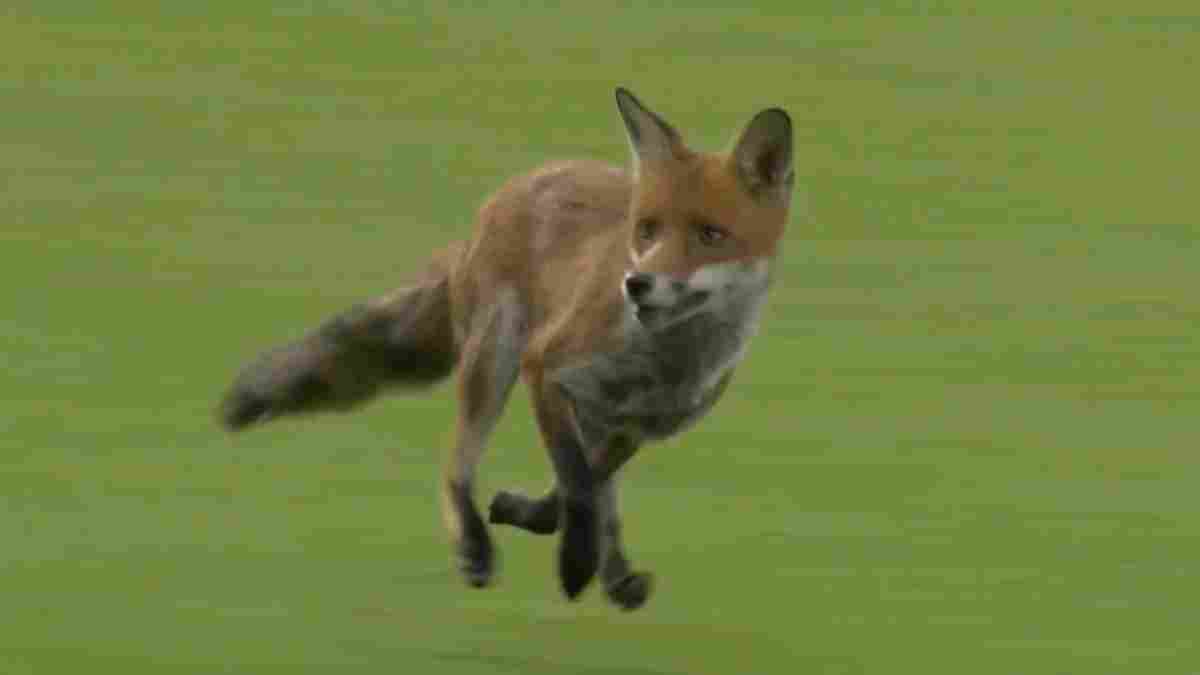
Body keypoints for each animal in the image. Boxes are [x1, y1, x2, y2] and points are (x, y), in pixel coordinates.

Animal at [217, 88, 794, 610]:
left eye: (711, 235)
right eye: (647, 230)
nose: (637, 284)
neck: (664, 362)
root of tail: (512, 187)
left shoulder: (636, 426)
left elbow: (581, 488)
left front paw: (551, 531)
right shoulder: (546, 368)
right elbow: (577, 486)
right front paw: (573, 563)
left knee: (594, 494)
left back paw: (614, 573)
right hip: (493, 359)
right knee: (457, 464)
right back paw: (477, 545)